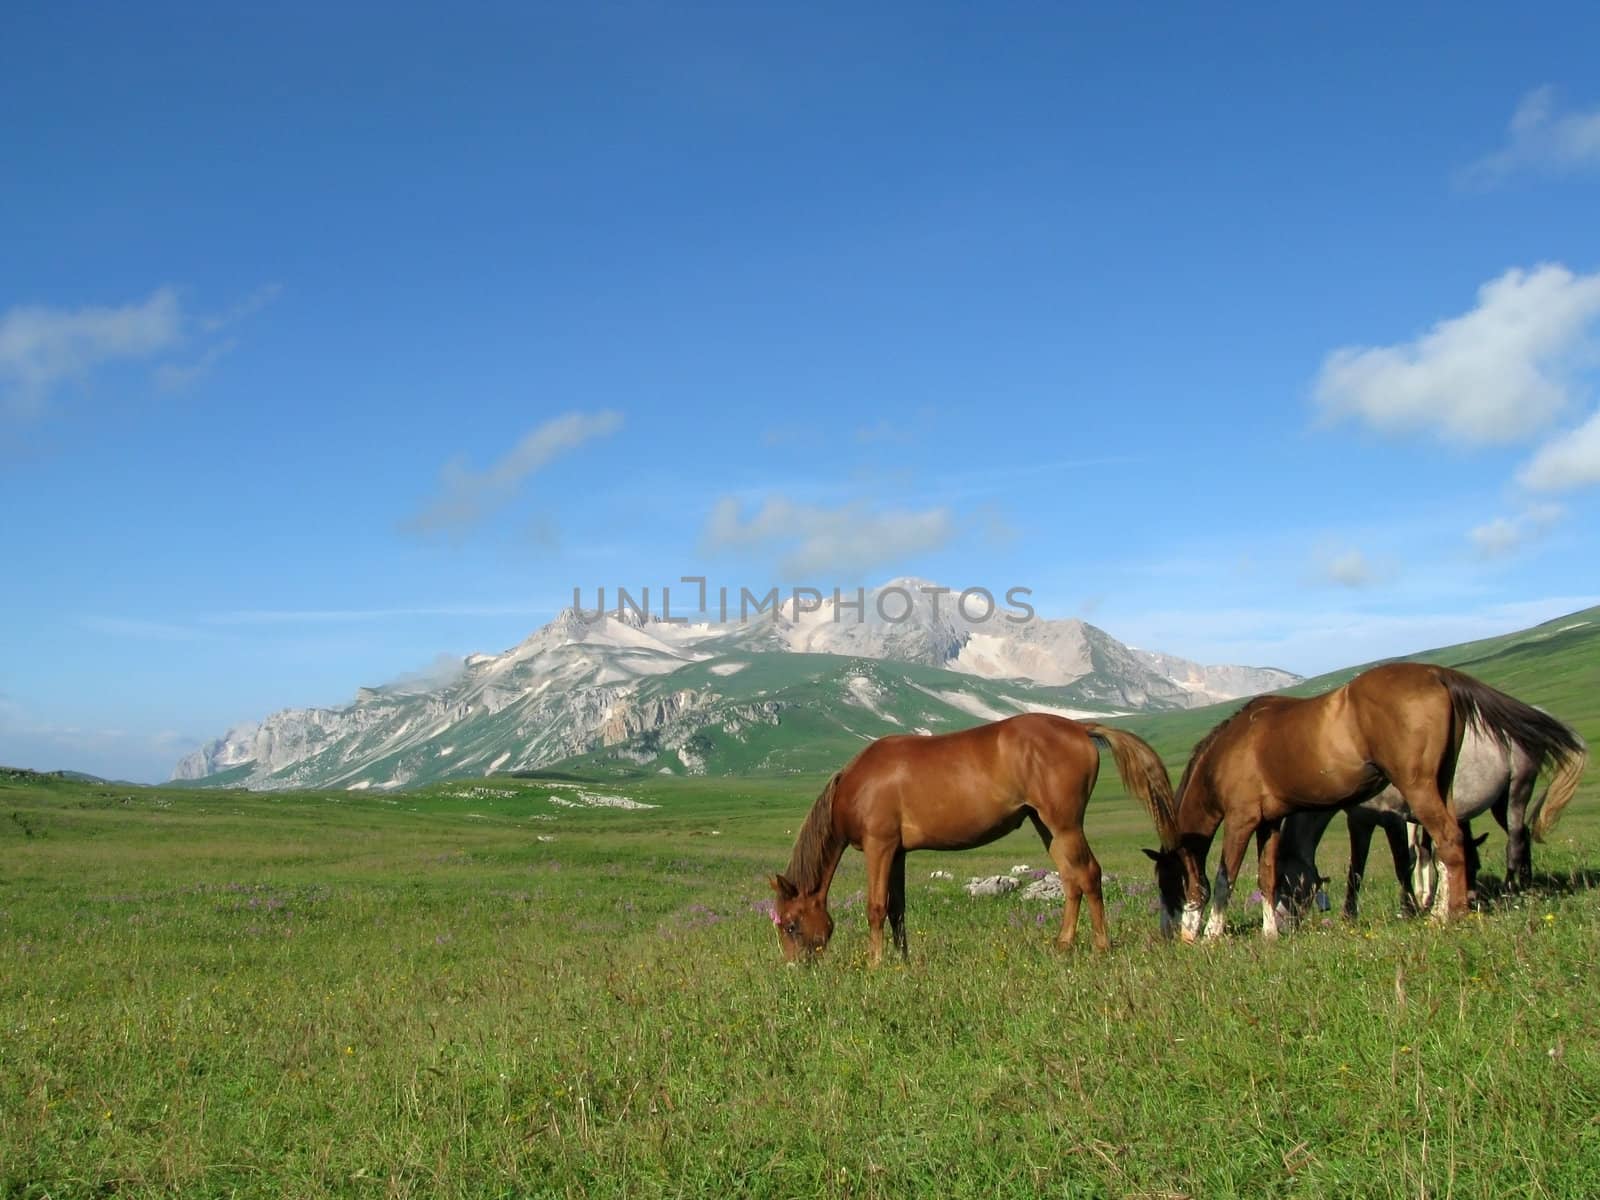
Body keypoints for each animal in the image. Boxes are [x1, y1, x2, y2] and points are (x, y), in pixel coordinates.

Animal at [761, 713, 1177, 966]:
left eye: (792, 925)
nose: (795, 967)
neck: (856, 785)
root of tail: (1078, 727)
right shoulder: (898, 852)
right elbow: (898, 908)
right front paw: (902, 961)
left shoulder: (879, 846)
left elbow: (876, 907)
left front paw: (875, 964)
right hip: (1047, 827)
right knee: (1071, 880)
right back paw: (1063, 944)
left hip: (1065, 825)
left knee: (1088, 875)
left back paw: (1101, 946)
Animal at [1273, 723, 1587, 921]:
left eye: (1289, 884)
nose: (1287, 925)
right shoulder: (1361, 822)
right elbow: (1356, 870)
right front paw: (1349, 915)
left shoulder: (1394, 819)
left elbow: (1402, 865)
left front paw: (1409, 909)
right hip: (1500, 802)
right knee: (1522, 837)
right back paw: (1526, 885)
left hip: (1516, 791)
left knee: (1515, 842)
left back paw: (1512, 890)